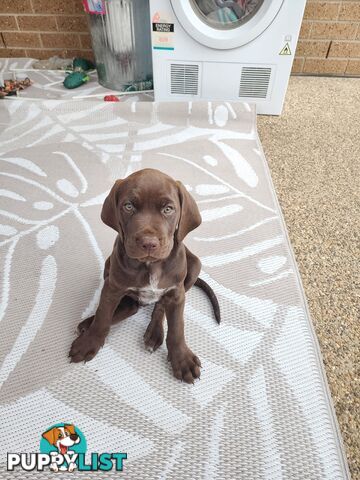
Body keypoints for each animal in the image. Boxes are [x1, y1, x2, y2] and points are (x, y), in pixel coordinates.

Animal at [68, 168, 219, 382]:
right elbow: (103, 315)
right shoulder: (113, 287)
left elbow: (177, 328)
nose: (149, 243)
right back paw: (87, 323)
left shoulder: (177, 293)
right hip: (109, 266)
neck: (150, 265)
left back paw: (154, 333)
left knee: (160, 306)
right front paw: (89, 341)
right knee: (130, 307)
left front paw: (182, 359)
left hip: (194, 266)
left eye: (168, 209)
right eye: (128, 206)